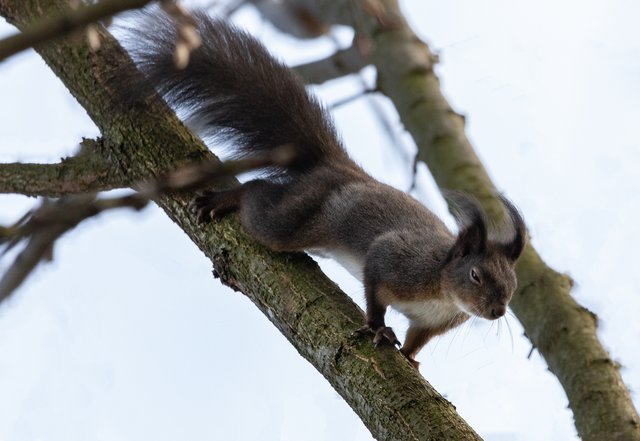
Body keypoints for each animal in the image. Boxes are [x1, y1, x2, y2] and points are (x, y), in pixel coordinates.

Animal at [123, 9, 527, 369]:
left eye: (513, 285)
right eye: (475, 275)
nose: (497, 311)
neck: (443, 289)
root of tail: (333, 167)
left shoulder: (433, 323)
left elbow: (417, 340)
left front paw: (411, 361)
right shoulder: (396, 261)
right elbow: (375, 291)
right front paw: (379, 329)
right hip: (293, 219)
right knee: (258, 194)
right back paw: (224, 200)